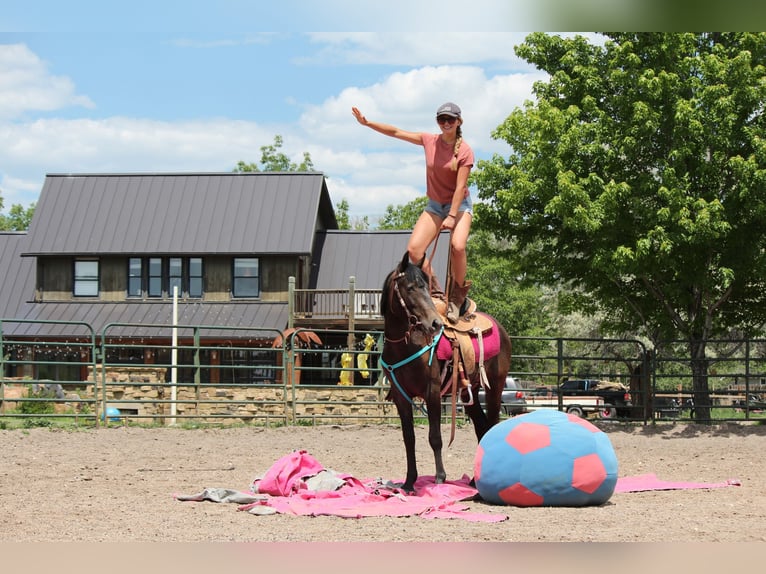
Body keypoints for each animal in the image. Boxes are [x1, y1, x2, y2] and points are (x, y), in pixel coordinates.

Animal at [380, 251, 512, 492]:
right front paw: (409, 482)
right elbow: (409, 438)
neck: (405, 345)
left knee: (491, 425)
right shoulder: (401, 397)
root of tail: (499, 327)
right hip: (469, 393)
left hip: (495, 388)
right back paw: (473, 480)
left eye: (425, 287)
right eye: (410, 288)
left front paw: (440, 478)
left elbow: (435, 437)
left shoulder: (432, 392)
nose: (434, 323)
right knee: (481, 427)